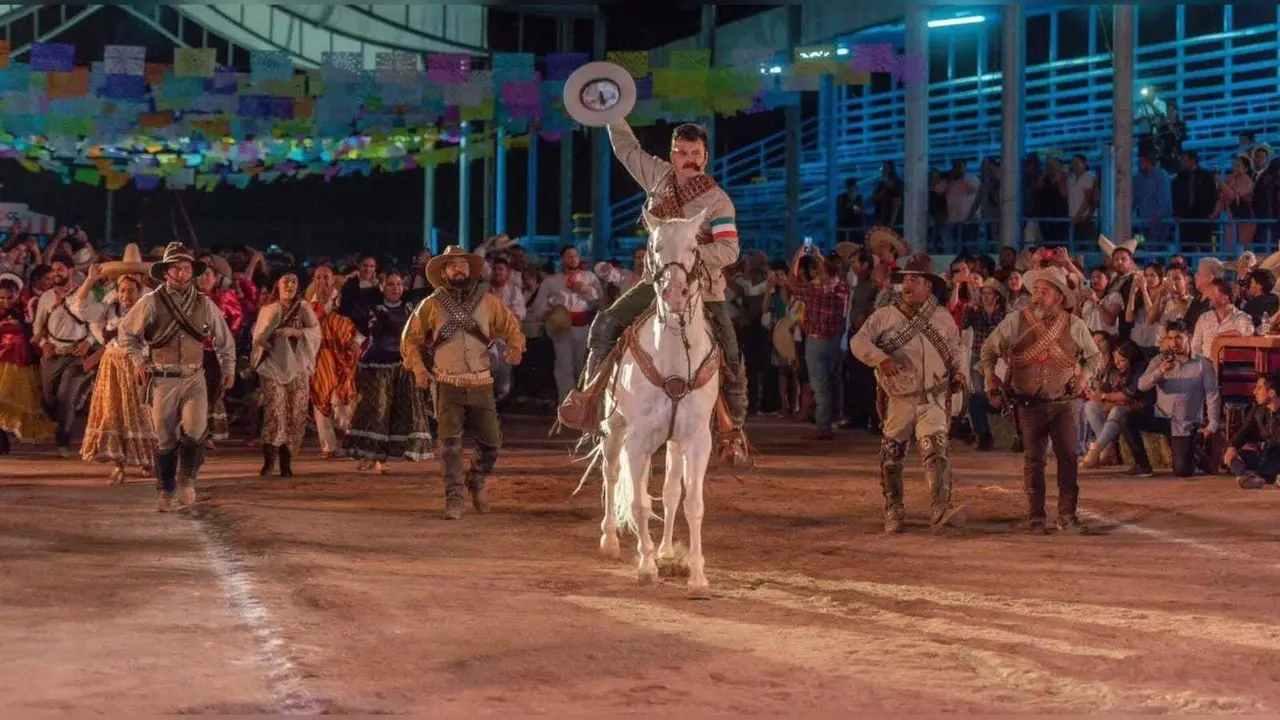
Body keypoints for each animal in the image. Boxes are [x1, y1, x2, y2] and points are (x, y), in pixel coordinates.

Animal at [591, 206, 721, 594]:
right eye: (656, 246)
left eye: (694, 247)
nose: (675, 293)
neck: (675, 358)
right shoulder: (637, 441)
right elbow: (637, 502)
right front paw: (646, 566)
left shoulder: (697, 440)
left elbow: (692, 503)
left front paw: (697, 576)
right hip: (615, 429)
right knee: (612, 474)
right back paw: (611, 542)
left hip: (672, 443)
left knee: (670, 491)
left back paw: (664, 551)